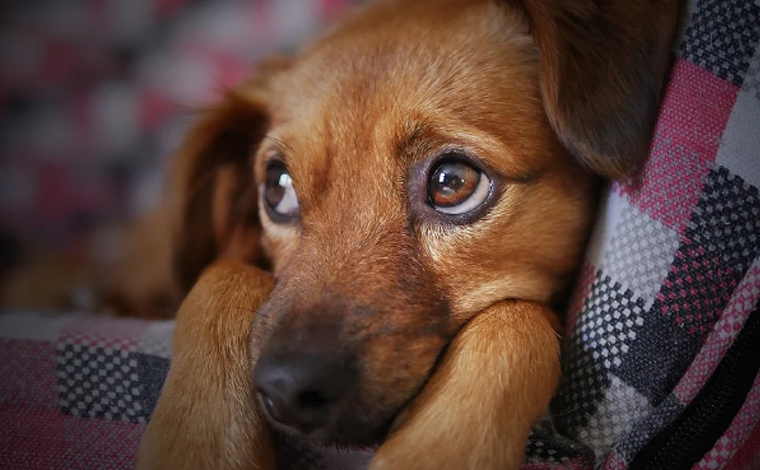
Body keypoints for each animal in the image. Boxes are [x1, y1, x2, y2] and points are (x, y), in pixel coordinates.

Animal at [134, 0, 680, 468]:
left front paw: (434, 450)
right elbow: (223, 273)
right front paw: (197, 443)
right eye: (277, 188)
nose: (287, 390)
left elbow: (516, 318)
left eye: (452, 182)